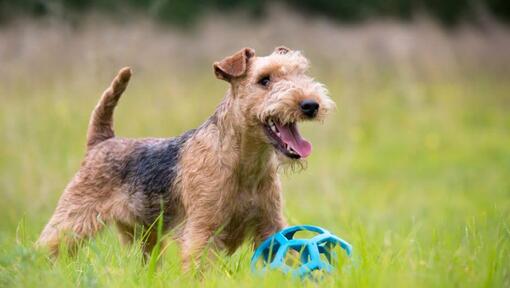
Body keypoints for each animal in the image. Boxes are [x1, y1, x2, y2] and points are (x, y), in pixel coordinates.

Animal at [38, 45, 334, 268]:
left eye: (301, 73)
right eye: (264, 80)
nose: (310, 104)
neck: (245, 163)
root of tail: (102, 140)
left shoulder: (271, 227)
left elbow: (290, 257)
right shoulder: (203, 230)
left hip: (142, 236)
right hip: (73, 217)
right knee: (46, 246)